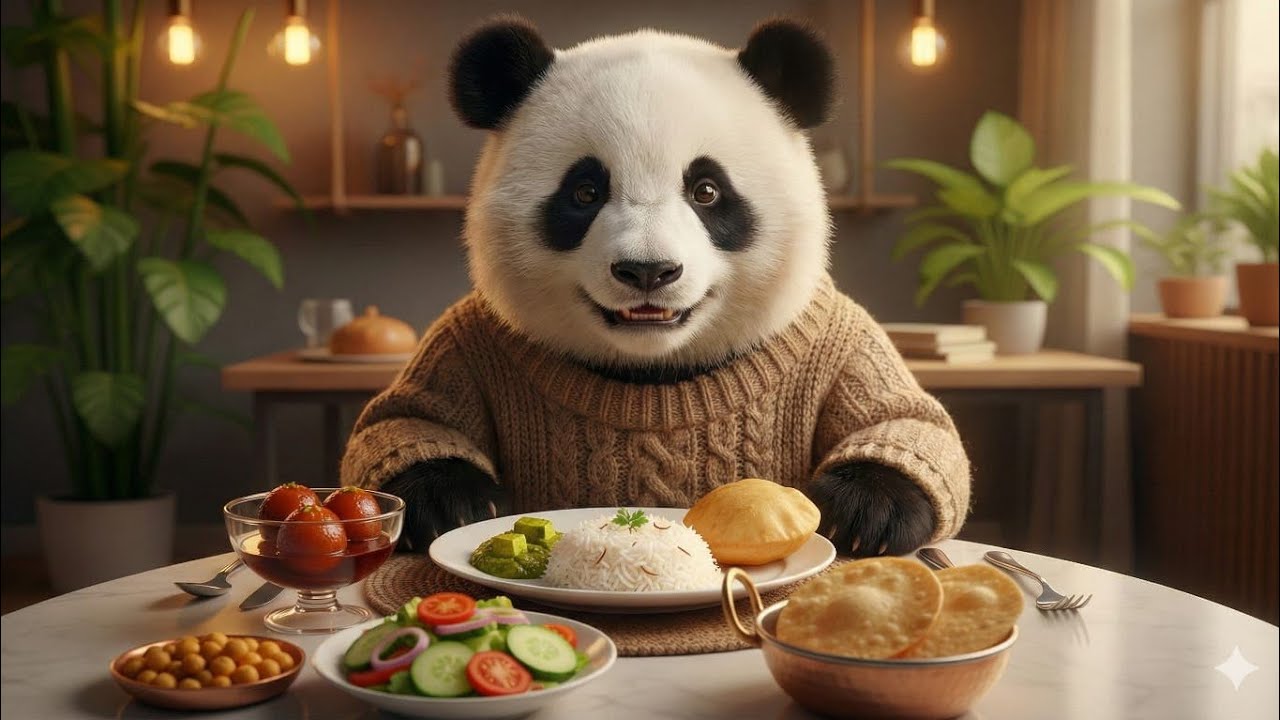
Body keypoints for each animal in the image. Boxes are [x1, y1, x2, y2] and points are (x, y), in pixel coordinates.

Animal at [340, 17, 972, 559]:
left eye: (707, 190)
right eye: (585, 191)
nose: (648, 271)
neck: (654, 368)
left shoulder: (832, 335)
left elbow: (908, 422)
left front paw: (861, 512)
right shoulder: (472, 338)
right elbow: (406, 420)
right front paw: (452, 503)